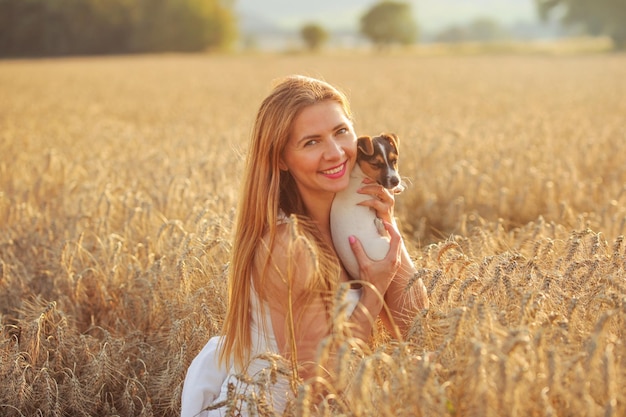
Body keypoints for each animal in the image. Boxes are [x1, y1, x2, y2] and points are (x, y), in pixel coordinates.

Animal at [330, 132, 402, 278]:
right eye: (376, 164)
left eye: (394, 161)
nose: (396, 181)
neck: (358, 174)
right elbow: (385, 188)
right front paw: (396, 188)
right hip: (384, 244)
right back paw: (381, 226)